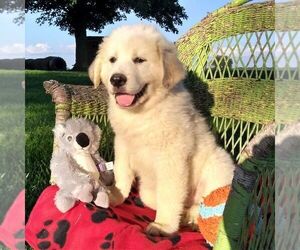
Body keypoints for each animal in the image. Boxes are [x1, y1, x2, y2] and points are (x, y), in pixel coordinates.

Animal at [88, 23, 234, 236]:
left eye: (139, 60)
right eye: (112, 60)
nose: (117, 79)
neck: (142, 113)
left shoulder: (171, 158)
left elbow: (169, 194)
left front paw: (163, 225)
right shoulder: (122, 145)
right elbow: (122, 171)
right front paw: (116, 194)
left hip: (219, 167)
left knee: (209, 203)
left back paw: (191, 219)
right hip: (148, 189)